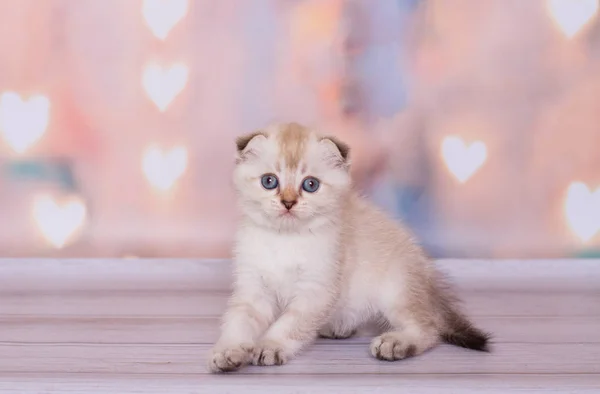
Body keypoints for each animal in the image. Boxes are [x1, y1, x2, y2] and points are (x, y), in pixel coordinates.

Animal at [209, 122, 490, 372]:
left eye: (310, 184)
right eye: (269, 181)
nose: (288, 202)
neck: (285, 240)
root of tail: (427, 272)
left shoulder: (316, 290)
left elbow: (289, 324)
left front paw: (270, 346)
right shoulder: (253, 289)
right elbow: (238, 323)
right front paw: (228, 351)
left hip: (396, 291)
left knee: (429, 328)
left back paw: (395, 344)